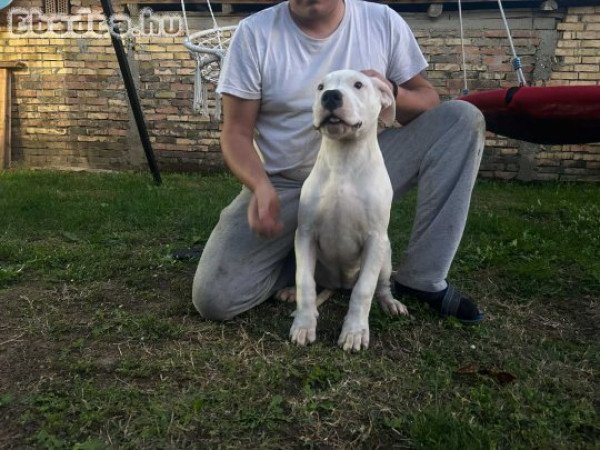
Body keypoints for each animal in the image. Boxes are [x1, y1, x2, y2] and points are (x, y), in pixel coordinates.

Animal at [290, 69, 408, 352]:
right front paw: (304, 324)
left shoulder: (375, 239)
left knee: (381, 285)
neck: (344, 160)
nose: (331, 96)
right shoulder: (305, 234)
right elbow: (304, 282)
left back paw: (390, 303)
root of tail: (340, 284)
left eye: (359, 84)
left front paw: (354, 332)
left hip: (385, 255)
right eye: (320, 87)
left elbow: (364, 290)